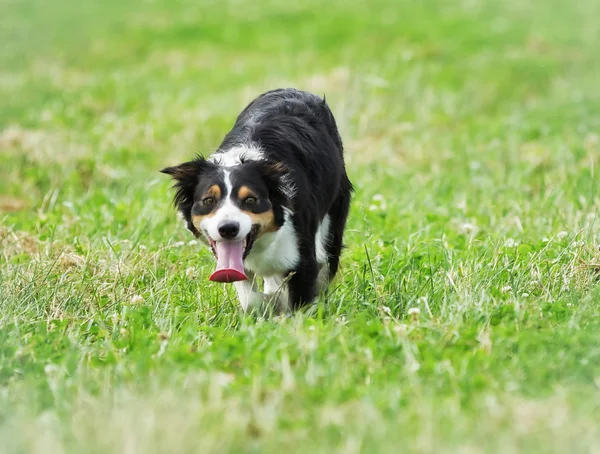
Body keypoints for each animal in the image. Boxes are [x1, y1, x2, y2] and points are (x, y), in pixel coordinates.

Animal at [162, 89, 354, 316]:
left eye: (251, 200)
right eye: (209, 200)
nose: (228, 229)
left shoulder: (303, 256)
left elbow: (302, 301)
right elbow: (250, 298)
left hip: (333, 222)